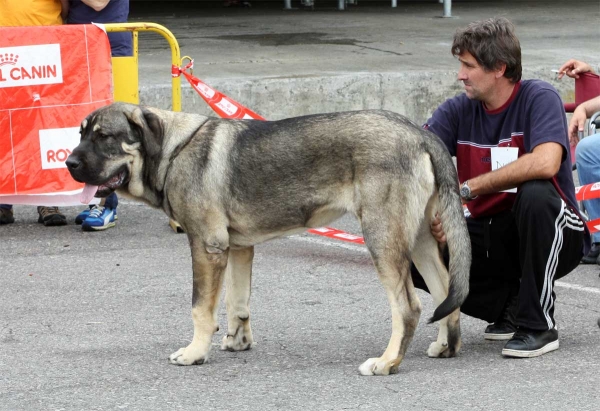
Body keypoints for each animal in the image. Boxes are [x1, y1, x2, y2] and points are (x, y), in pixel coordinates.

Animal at [65, 103, 468, 376]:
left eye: (104, 137)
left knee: (408, 308)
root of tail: (420, 133)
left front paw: (195, 353)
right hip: (420, 240)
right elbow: (236, 303)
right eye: (81, 134)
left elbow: (200, 309)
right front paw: (237, 342)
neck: (173, 150)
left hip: (383, 240)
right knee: (447, 291)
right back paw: (446, 346)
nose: (69, 164)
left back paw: (387, 362)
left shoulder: (206, 247)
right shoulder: (238, 248)